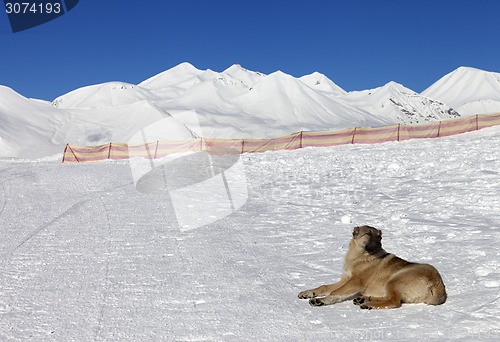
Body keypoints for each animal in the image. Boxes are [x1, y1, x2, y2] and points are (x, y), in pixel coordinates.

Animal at [298, 224, 448, 310]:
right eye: (368, 234)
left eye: (379, 237)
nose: (379, 244)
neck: (359, 256)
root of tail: (439, 285)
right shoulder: (345, 280)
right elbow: (324, 287)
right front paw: (308, 292)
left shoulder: (354, 282)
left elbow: (335, 293)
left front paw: (321, 300)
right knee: (390, 298)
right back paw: (363, 299)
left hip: (395, 279)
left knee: (394, 301)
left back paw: (367, 304)